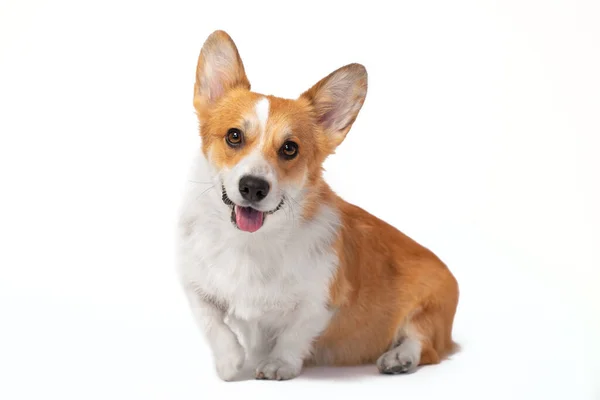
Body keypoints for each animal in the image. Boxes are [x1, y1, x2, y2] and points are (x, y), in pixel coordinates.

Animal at [178, 29, 460, 380]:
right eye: (233, 136)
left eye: (289, 148)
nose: (253, 187)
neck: (251, 243)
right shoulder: (194, 285)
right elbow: (212, 321)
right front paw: (230, 362)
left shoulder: (322, 301)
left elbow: (295, 333)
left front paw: (279, 364)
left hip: (429, 312)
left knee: (425, 344)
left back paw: (399, 357)